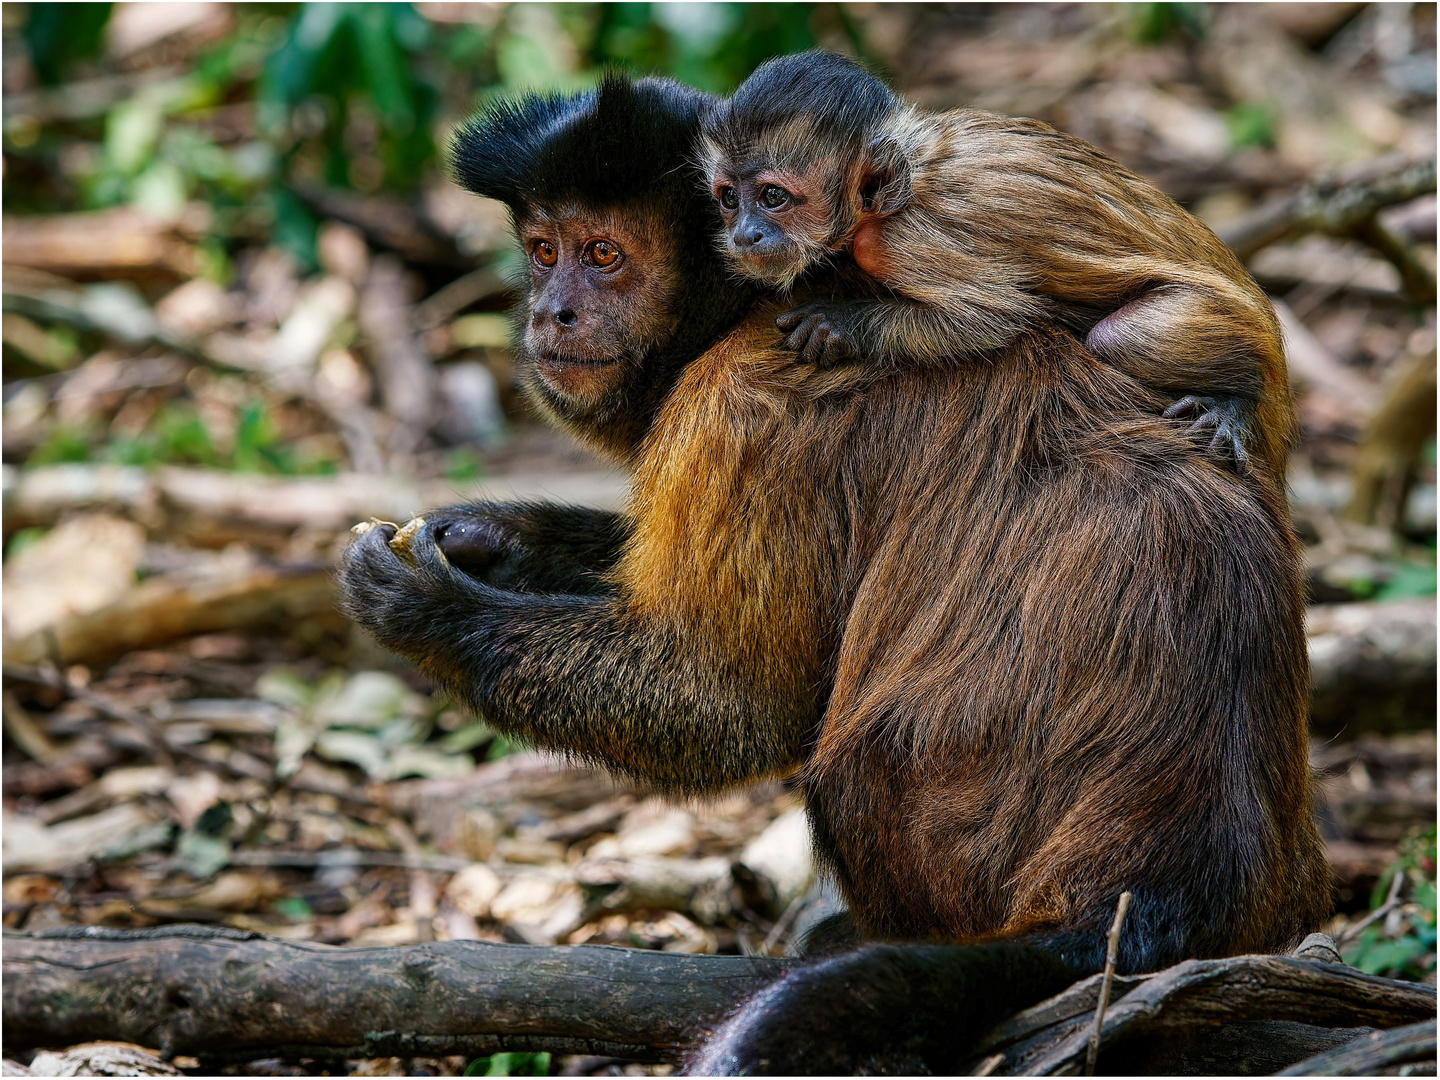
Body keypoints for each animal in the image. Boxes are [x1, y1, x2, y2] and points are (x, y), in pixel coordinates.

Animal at [705, 51, 1296, 472]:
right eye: (729, 198)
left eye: (774, 197)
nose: (743, 233)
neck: (902, 182)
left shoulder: (907, 240)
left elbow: (988, 317)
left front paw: (838, 323)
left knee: (1120, 338)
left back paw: (1237, 400)